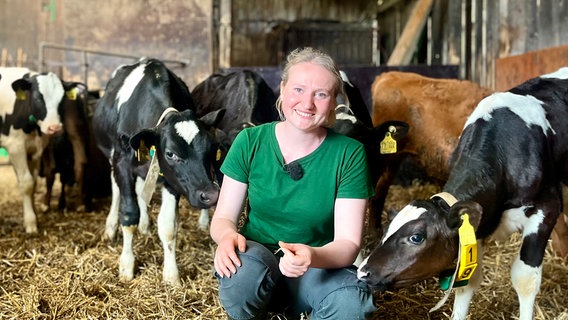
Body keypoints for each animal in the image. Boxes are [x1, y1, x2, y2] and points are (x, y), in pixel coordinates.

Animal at [0, 67, 64, 232]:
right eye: (37, 97)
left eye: (62, 98)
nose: (54, 127)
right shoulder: (15, 146)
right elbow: (27, 182)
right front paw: (31, 223)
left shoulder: (36, 149)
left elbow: (33, 183)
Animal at [358, 67, 568, 320]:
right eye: (389, 229)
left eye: (417, 237)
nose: (363, 272)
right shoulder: (475, 226)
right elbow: (467, 281)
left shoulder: (547, 207)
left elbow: (525, 279)